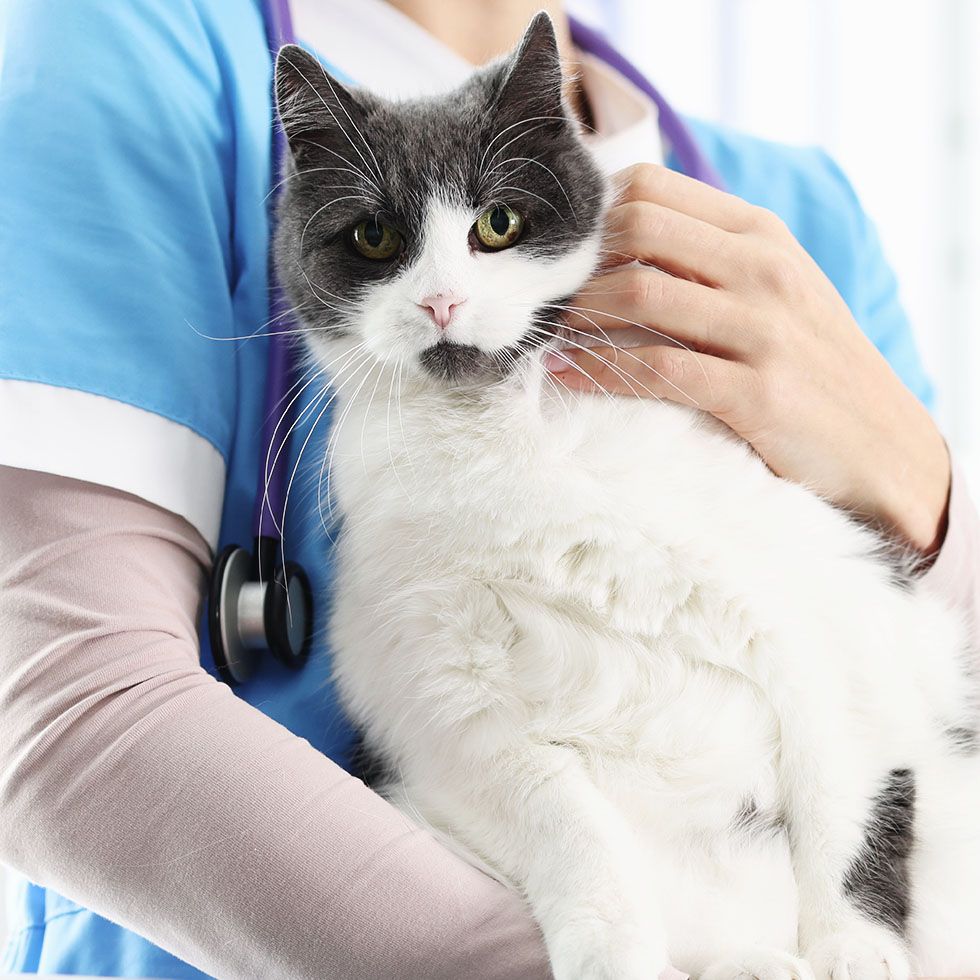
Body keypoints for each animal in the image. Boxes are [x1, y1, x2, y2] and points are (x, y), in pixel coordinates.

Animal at [270, 15, 980, 980]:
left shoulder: (836, 613)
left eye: (498, 223)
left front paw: (853, 950)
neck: (507, 441)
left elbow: (847, 797)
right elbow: (566, 826)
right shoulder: (445, 706)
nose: (441, 302)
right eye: (374, 237)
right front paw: (612, 946)